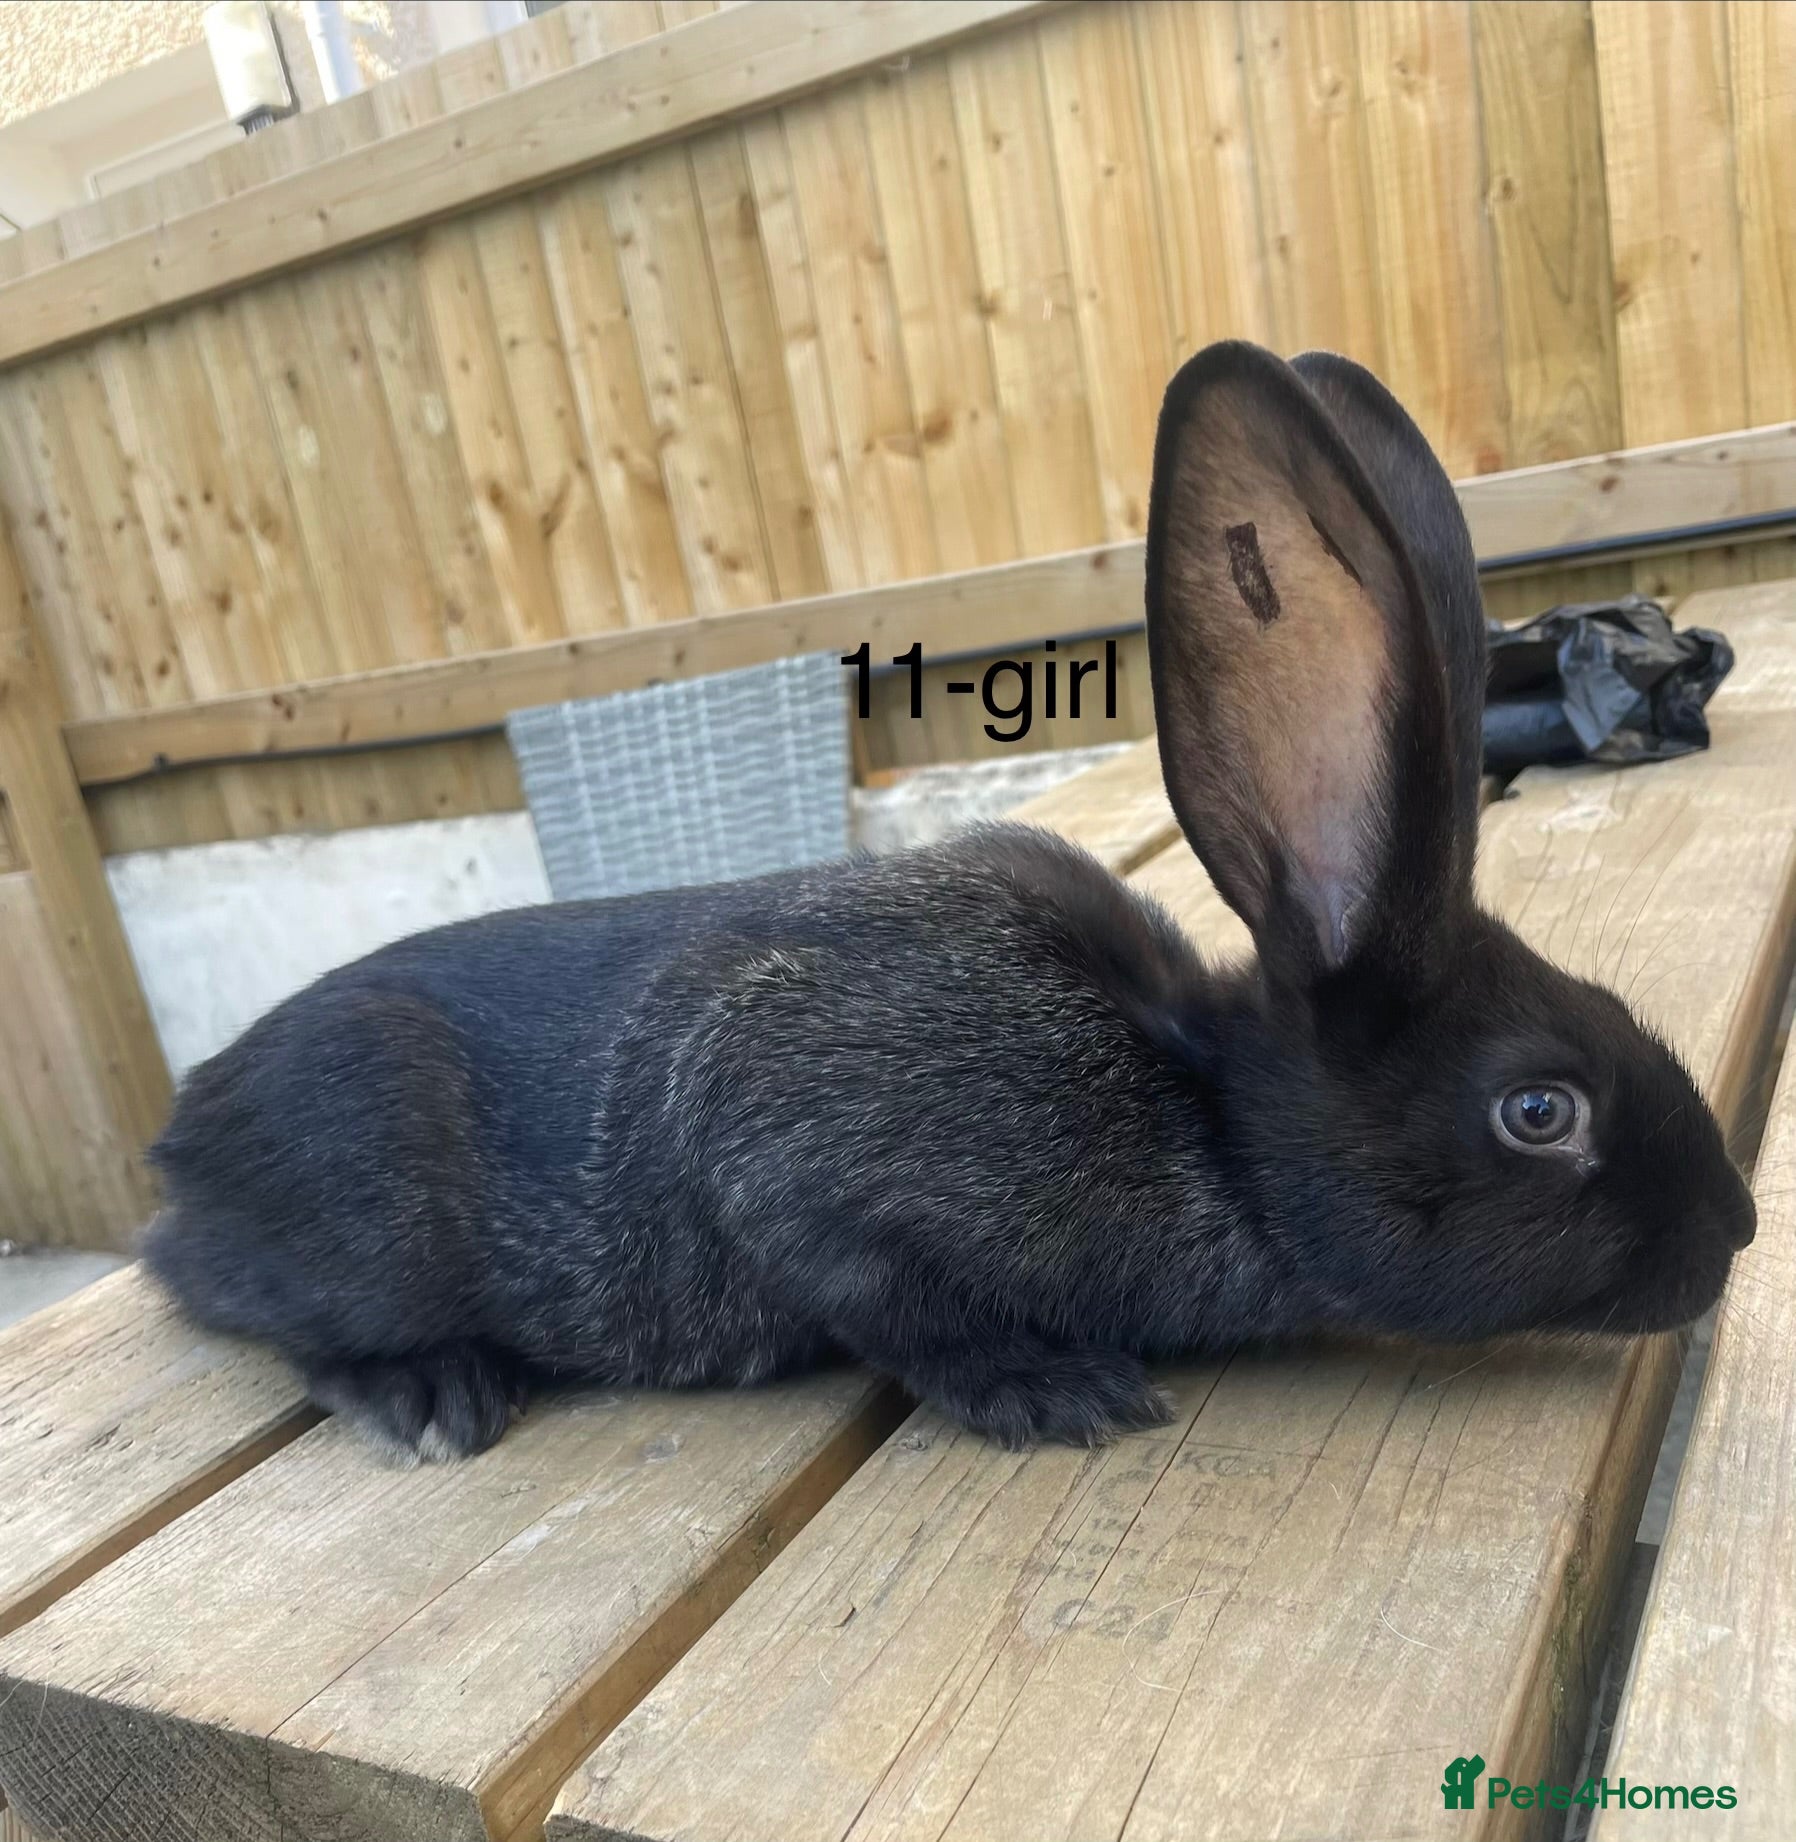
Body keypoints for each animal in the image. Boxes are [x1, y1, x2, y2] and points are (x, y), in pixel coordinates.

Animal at [144, 340, 1757, 1463]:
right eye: (1538, 1110)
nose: (1734, 1228)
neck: (1207, 1122)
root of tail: (180, 1141)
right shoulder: (813, 1185)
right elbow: (900, 1307)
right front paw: (1053, 1393)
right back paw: (425, 1392)